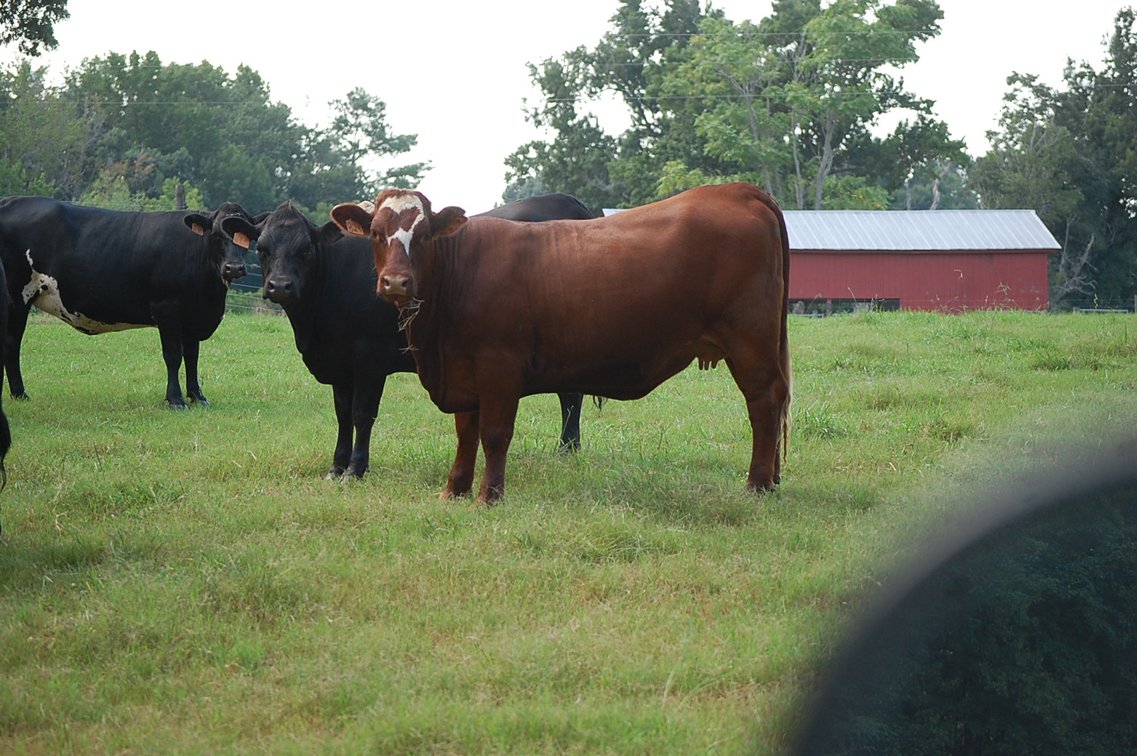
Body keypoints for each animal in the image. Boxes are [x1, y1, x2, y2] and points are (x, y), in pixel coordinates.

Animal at [0, 197, 261, 408]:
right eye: (215, 235)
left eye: (249, 238)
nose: (234, 268)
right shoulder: (167, 307)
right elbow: (173, 355)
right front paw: (175, 400)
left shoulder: (192, 315)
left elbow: (192, 356)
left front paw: (198, 397)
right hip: (17, 298)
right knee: (11, 344)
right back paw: (20, 394)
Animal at [220, 194, 595, 480]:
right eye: (262, 248)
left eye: (306, 249)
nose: (280, 286)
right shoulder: (340, 364)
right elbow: (342, 414)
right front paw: (336, 467)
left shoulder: (369, 359)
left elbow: (362, 414)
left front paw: (356, 469)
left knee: (571, 396)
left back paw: (567, 449)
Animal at [331, 182, 792, 503]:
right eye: (376, 233)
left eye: (424, 234)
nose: (396, 282)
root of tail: (737, 190)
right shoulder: (462, 371)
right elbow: (465, 432)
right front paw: (454, 490)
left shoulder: (500, 367)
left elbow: (494, 433)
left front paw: (488, 496)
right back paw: (770, 480)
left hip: (751, 342)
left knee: (764, 403)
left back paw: (757, 484)